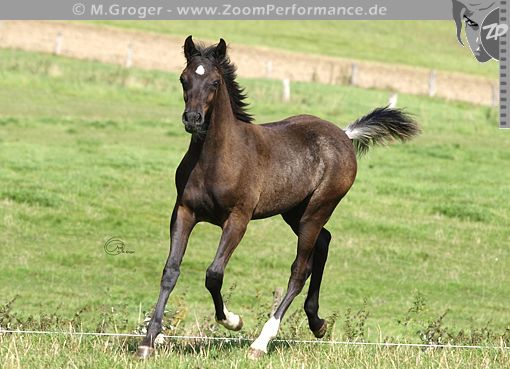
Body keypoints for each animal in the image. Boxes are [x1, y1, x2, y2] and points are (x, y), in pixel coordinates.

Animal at [137, 36, 420, 358]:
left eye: (214, 82)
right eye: (183, 79)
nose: (193, 119)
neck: (215, 159)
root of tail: (344, 135)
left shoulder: (238, 219)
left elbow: (214, 274)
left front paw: (233, 321)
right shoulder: (184, 211)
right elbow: (170, 271)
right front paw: (148, 341)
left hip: (316, 210)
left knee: (299, 270)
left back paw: (261, 342)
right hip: (294, 212)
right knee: (324, 243)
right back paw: (317, 323)